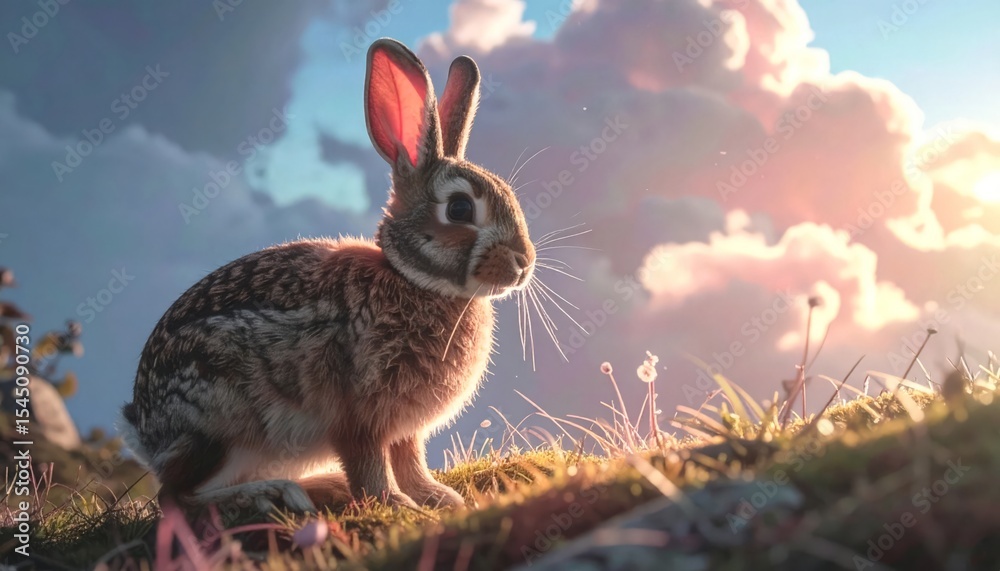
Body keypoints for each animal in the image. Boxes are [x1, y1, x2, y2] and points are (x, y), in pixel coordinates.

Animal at [118, 38, 535, 514]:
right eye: (460, 209)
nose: (523, 263)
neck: (415, 280)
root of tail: (144, 430)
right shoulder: (358, 415)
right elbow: (370, 466)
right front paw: (397, 505)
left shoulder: (405, 427)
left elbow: (410, 460)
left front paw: (439, 498)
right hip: (223, 421)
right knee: (175, 496)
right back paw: (274, 494)